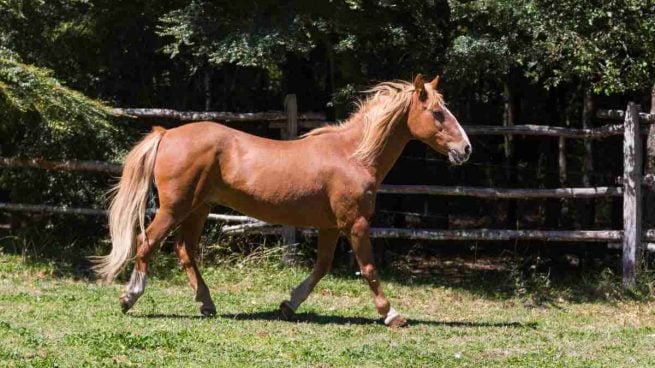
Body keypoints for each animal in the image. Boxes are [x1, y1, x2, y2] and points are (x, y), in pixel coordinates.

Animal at [93, 75, 472, 328]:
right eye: (437, 112)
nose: (465, 149)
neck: (353, 155)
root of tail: (166, 134)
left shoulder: (331, 226)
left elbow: (320, 268)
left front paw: (289, 305)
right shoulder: (356, 223)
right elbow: (368, 269)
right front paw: (391, 314)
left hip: (198, 208)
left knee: (184, 250)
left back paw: (207, 304)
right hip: (175, 207)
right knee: (146, 243)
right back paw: (129, 297)